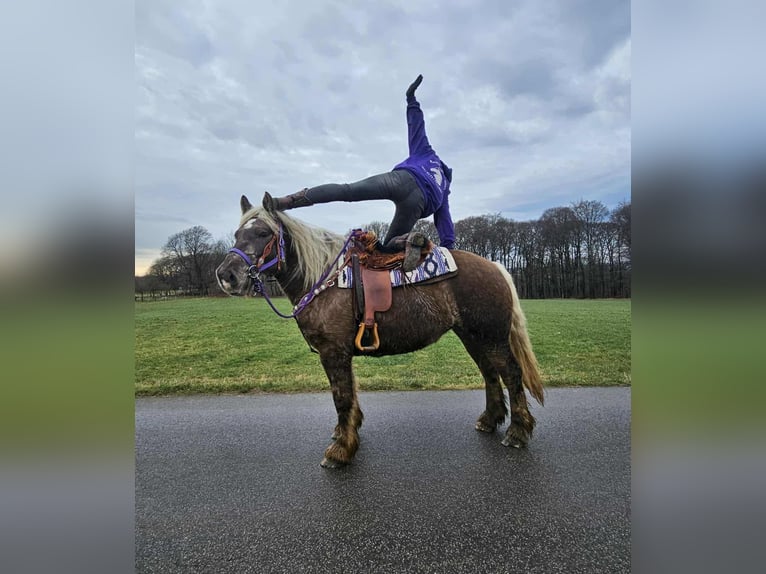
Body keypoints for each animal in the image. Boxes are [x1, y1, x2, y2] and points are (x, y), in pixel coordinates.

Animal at [215, 195, 544, 468]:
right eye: (237, 234)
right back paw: (490, 420)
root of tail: (495, 267)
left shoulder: (333, 352)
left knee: (511, 374)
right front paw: (347, 434)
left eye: (263, 233)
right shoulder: (341, 353)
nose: (226, 275)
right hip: (473, 337)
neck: (324, 279)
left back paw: (518, 431)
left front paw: (341, 451)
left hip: (492, 337)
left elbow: (342, 397)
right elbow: (349, 394)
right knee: (490, 373)